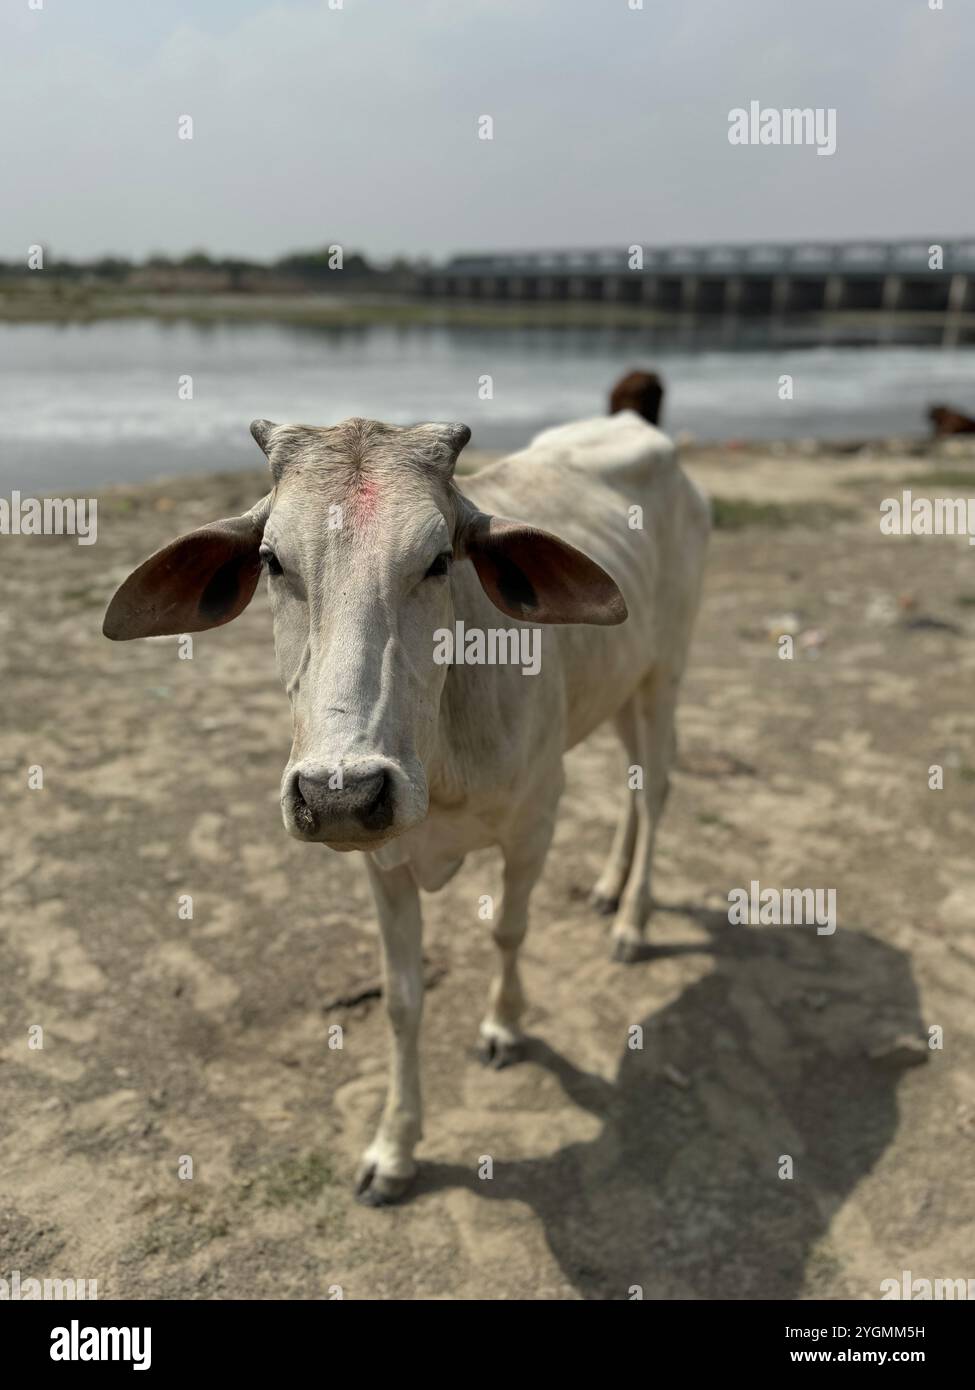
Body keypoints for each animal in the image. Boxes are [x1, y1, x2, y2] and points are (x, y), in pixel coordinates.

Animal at [103, 411, 710, 1204]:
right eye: (271, 561)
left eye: (439, 559)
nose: (338, 791)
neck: (440, 756)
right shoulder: (381, 863)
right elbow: (400, 999)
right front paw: (393, 1150)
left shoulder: (535, 820)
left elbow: (508, 931)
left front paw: (503, 1028)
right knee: (636, 783)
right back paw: (609, 888)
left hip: (664, 671)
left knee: (658, 786)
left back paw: (633, 921)